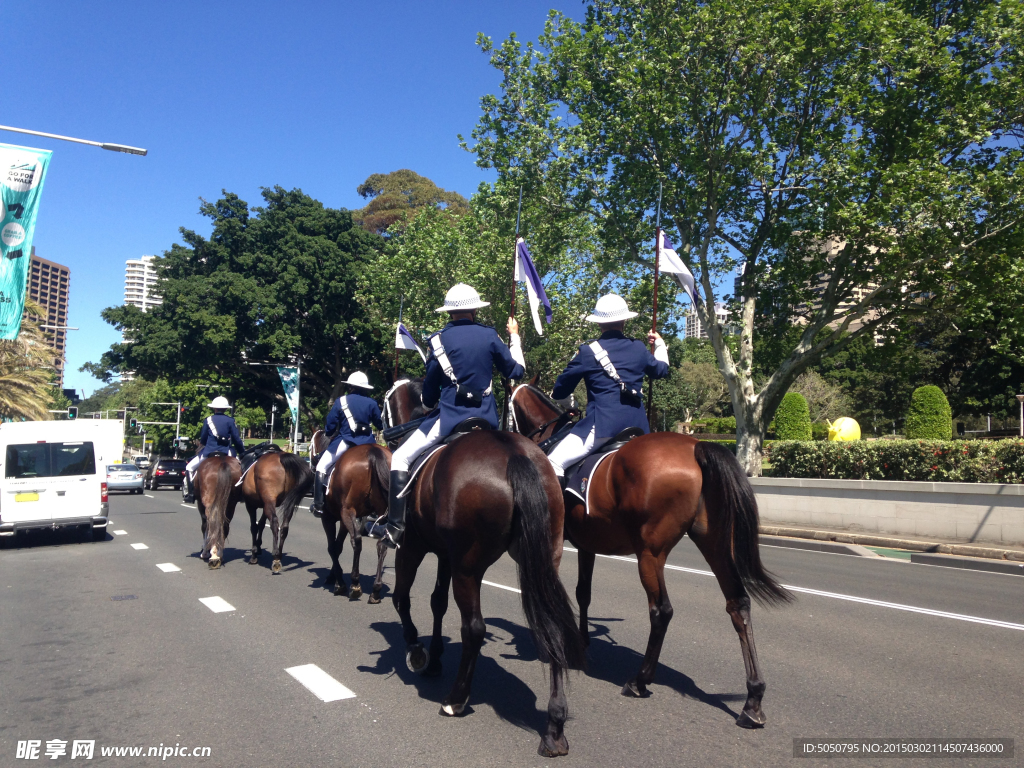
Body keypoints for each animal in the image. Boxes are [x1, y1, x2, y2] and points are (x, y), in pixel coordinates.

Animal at [319, 444, 391, 602]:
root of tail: (372, 450)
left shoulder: (328, 518)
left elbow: (332, 547)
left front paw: (339, 581)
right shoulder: (343, 521)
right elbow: (338, 547)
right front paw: (334, 576)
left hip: (348, 511)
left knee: (357, 541)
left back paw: (355, 584)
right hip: (383, 512)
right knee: (382, 544)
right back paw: (376, 590)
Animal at [391, 430, 585, 761]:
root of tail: (514, 451)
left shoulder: (413, 545)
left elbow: (402, 598)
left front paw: (417, 650)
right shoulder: (445, 554)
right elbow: (437, 602)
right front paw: (434, 659)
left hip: (467, 568)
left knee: (474, 628)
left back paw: (455, 699)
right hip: (545, 560)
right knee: (553, 630)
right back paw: (555, 727)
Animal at [509, 387, 790, 729]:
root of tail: (695, 446)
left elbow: (549, 590)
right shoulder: (588, 544)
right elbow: (583, 593)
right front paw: (581, 639)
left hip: (650, 553)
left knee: (662, 611)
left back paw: (639, 681)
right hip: (714, 544)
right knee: (738, 603)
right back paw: (753, 700)